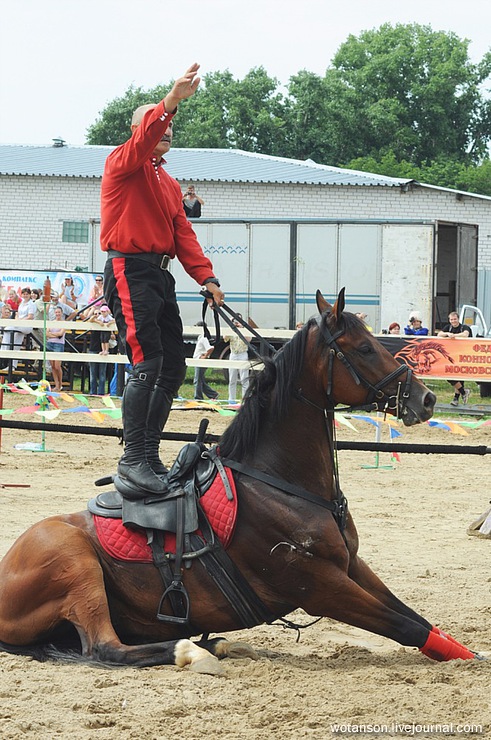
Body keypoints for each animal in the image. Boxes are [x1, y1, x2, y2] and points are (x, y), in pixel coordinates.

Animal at [0, 290, 480, 676]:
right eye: (363, 347)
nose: (426, 398)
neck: (277, 484)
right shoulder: (321, 587)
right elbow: (404, 625)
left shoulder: (351, 566)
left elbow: (416, 617)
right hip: (75, 564)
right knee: (105, 648)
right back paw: (194, 652)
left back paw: (219, 643)